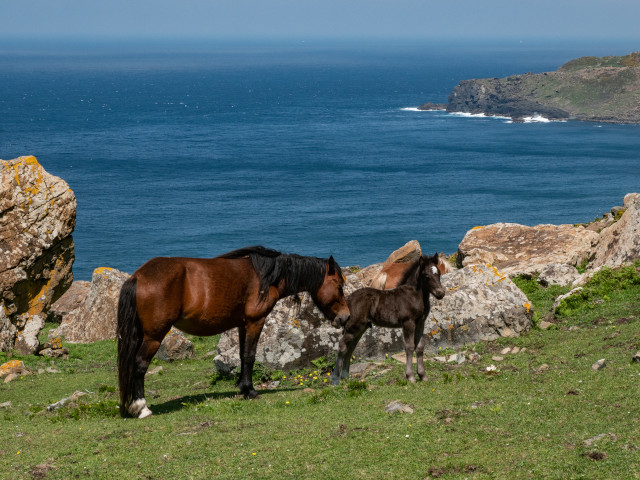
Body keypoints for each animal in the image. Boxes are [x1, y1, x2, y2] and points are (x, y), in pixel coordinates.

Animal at [119, 246, 350, 418]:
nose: (346, 317)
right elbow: (250, 355)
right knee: (139, 365)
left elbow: (241, 355)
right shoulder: (256, 321)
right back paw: (141, 408)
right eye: (339, 286)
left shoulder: (242, 324)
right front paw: (250, 390)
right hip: (154, 337)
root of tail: (138, 277)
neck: (267, 277)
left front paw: (241, 386)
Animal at [332, 255, 442, 386]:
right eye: (426, 276)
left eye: (439, 273)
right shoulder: (408, 323)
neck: (414, 296)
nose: (441, 293)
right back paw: (336, 379)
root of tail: (348, 300)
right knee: (342, 346)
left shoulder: (420, 322)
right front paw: (410, 377)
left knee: (350, 348)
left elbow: (420, 347)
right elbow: (410, 347)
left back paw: (345, 377)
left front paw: (423, 375)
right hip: (352, 327)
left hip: (360, 328)